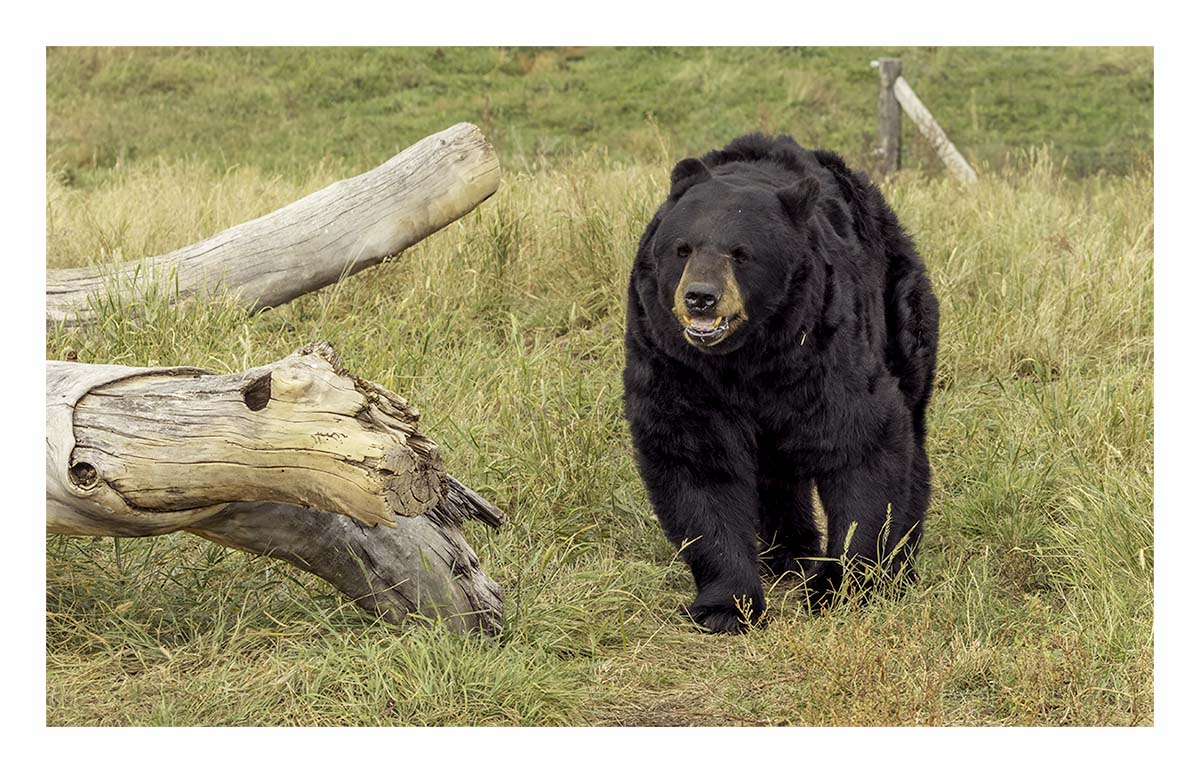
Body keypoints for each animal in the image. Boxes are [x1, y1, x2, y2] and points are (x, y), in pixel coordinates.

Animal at [623, 133, 939, 634]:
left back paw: (899, 562)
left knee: (911, 432)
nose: (700, 298)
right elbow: (697, 457)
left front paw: (840, 586)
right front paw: (727, 605)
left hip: (900, 308)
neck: (748, 356)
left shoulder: (822, 343)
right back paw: (790, 551)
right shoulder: (677, 363)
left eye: (740, 253)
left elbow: (860, 441)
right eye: (682, 248)